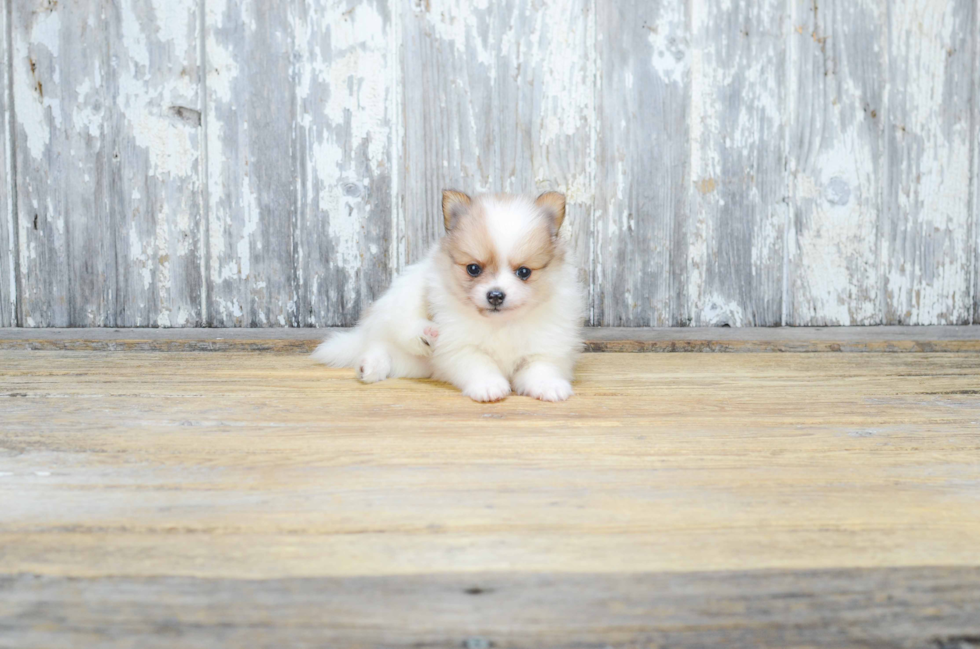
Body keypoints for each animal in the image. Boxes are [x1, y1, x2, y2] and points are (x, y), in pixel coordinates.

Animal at [314, 190, 584, 400]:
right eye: (473, 269)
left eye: (524, 272)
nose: (495, 295)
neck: (501, 325)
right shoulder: (460, 347)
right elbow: (479, 363)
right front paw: (488, 386)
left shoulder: (546, 347)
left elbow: (542, 367)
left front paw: (549, 386)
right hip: (408, 293)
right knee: (393, 332)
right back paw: (417, 338)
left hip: (413, 365)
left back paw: (370, 366)